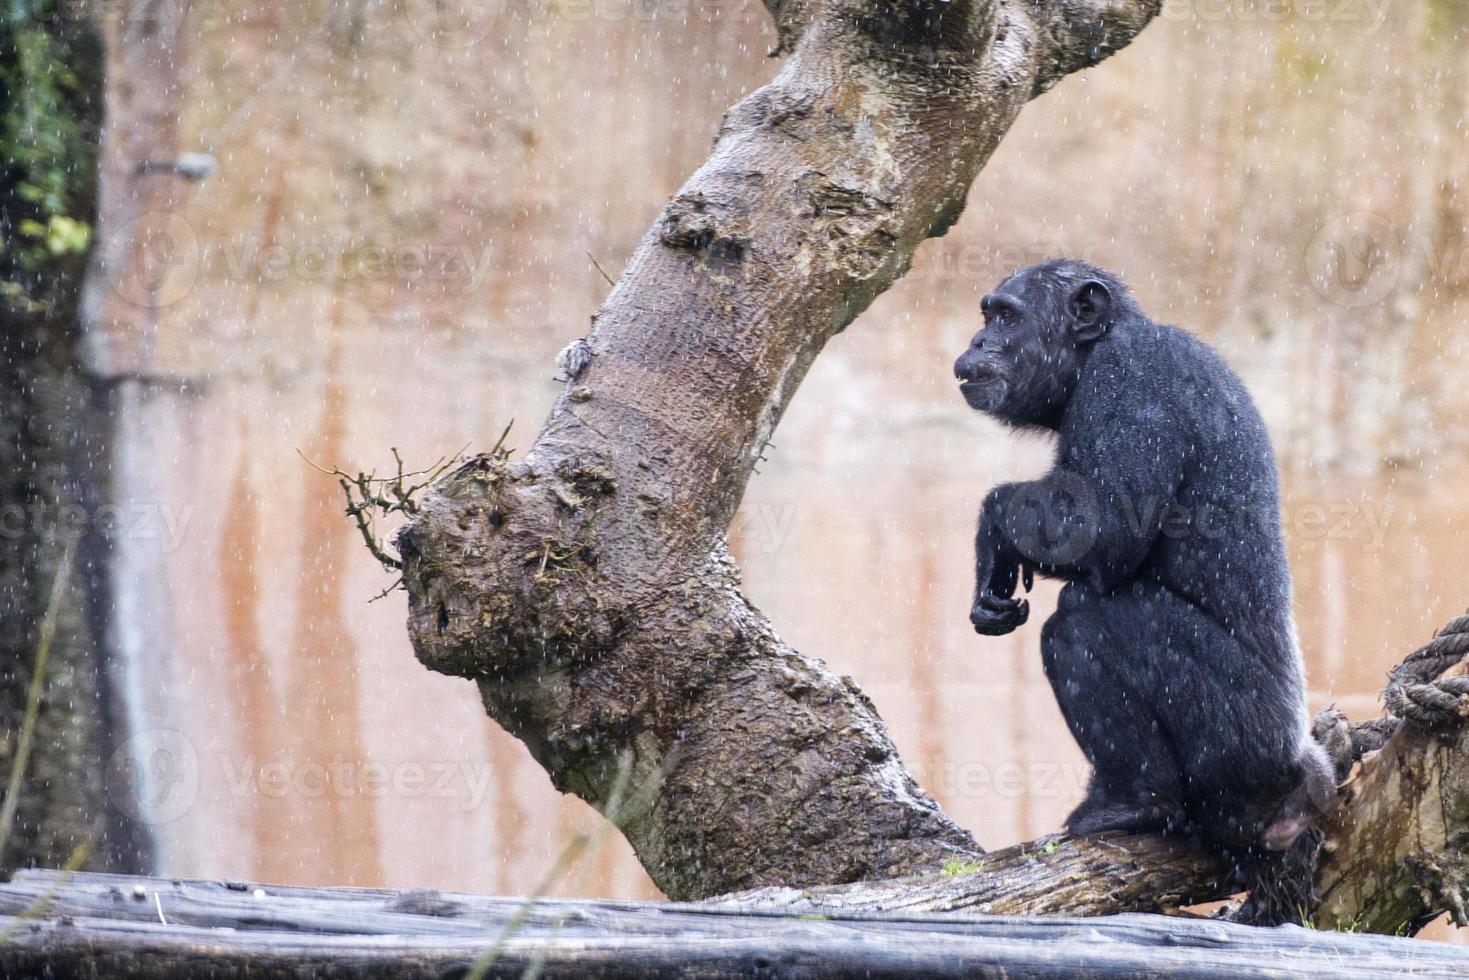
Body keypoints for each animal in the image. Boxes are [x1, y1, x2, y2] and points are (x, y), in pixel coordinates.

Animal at [951, 260, 1333, 858]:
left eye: (1007, 317)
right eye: (987, 315)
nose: (978, 340)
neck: (1093, 352)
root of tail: (1305, 775)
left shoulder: (1131, 384)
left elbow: (1105, 527)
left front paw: (992, 530)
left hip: (1244, 738)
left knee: (1086, 619)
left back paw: (1133, 803)